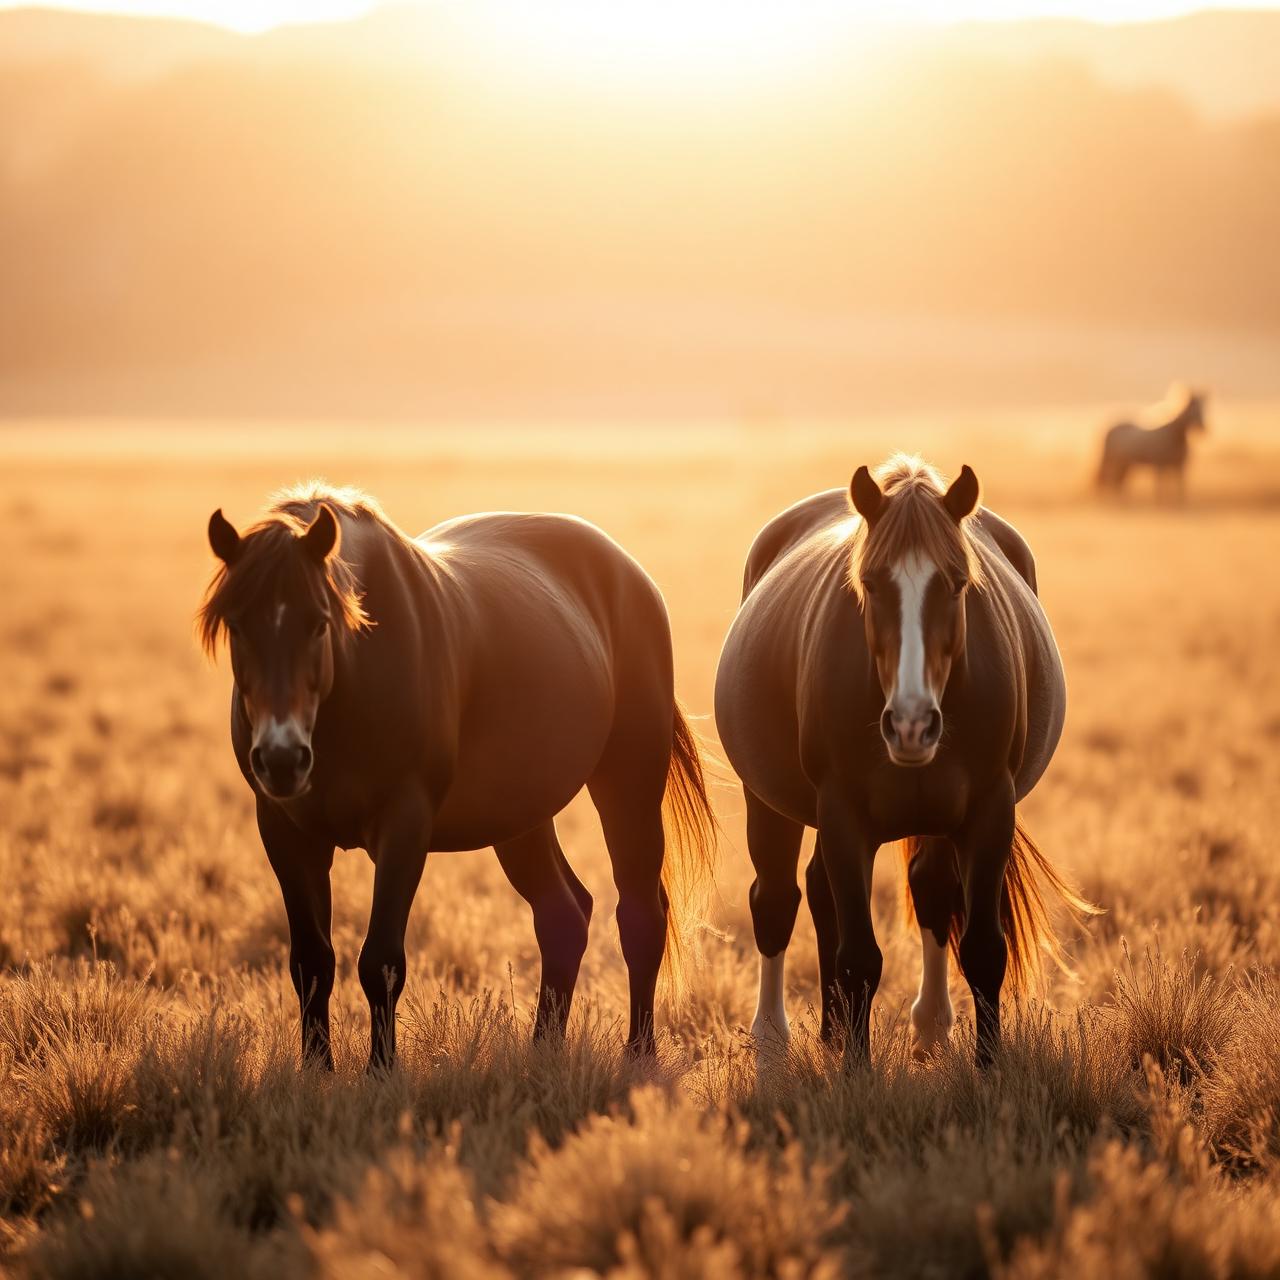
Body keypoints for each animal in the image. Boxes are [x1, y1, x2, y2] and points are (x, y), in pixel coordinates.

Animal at [199, 484, 716, 1070]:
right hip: (521, 816)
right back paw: (542, 1052)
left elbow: (381, 961)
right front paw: (316, 1072)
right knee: (563, 915)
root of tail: (631, 575)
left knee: (639, 916)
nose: (283, 758)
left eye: (318, 621)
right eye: (236, 624)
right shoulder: (286, 831)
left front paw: (382, 1073)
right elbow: (311, 961)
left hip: (628, 785)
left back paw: (639, 1055)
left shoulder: (405, 825)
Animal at [714, 456, 1090, 1066]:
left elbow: (982, 948)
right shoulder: (843, 815)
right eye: (869, 583)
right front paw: (856, 1073)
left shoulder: (989, 810)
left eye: (957, 583)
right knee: (776, 900)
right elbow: (859, 958)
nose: (911, 724)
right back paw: (772, 1040)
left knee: (914, 891)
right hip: (768, 802)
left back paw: (914, 1028)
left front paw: (988, 1069)